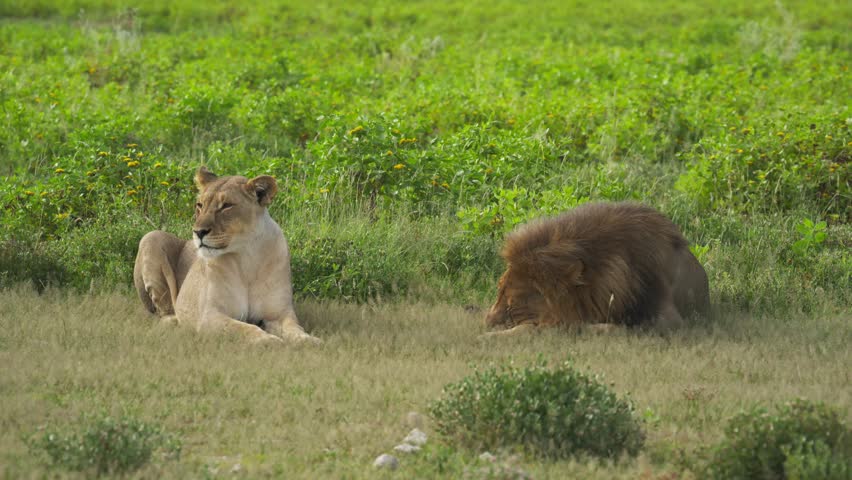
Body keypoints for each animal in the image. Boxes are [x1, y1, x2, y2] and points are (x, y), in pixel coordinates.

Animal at [133, 166, 320, 346]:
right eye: (199, 205)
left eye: (226, 206)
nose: (198, 232)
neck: (247, 256)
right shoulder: (209, 315)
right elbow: (244, 328)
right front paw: (267, 340)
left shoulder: (278, 314)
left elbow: (294, 327)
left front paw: (307, 340)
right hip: (151, 237)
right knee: (163, 311)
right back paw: (174, 321)